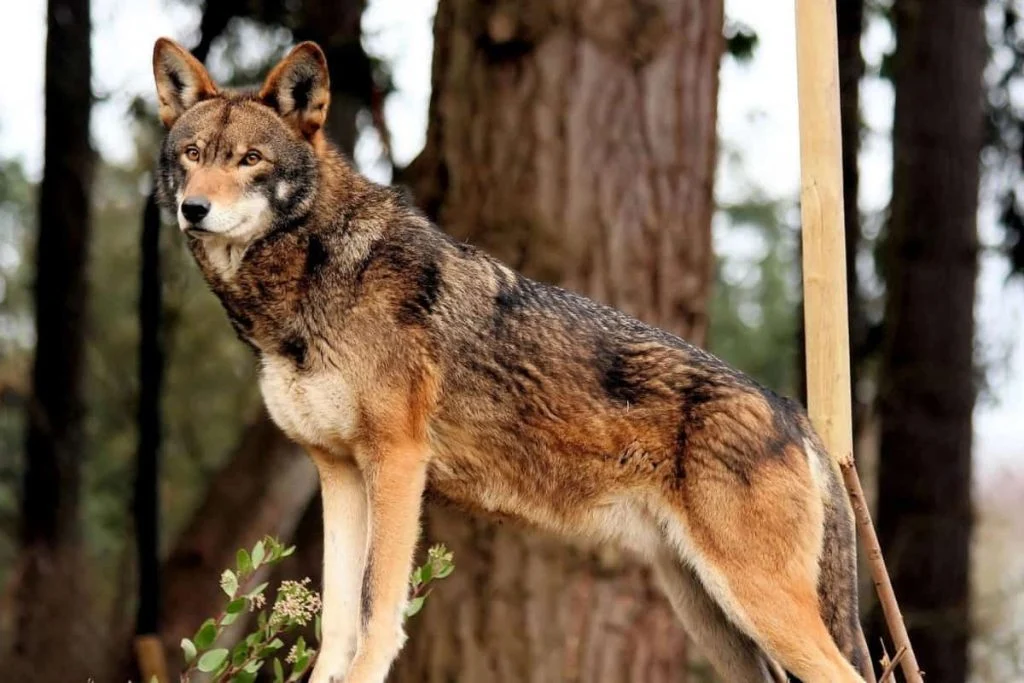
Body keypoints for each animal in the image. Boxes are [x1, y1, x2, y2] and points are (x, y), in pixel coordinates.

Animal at [152, 38, 871, 683]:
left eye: (250, 159)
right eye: (192, 155)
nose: (194, 208)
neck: (313, 276)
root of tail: (791, 411)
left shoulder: (397, 460)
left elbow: (377, 611)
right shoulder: (338, 471)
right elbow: (337, 626)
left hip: (758, 605)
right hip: (713, 616)